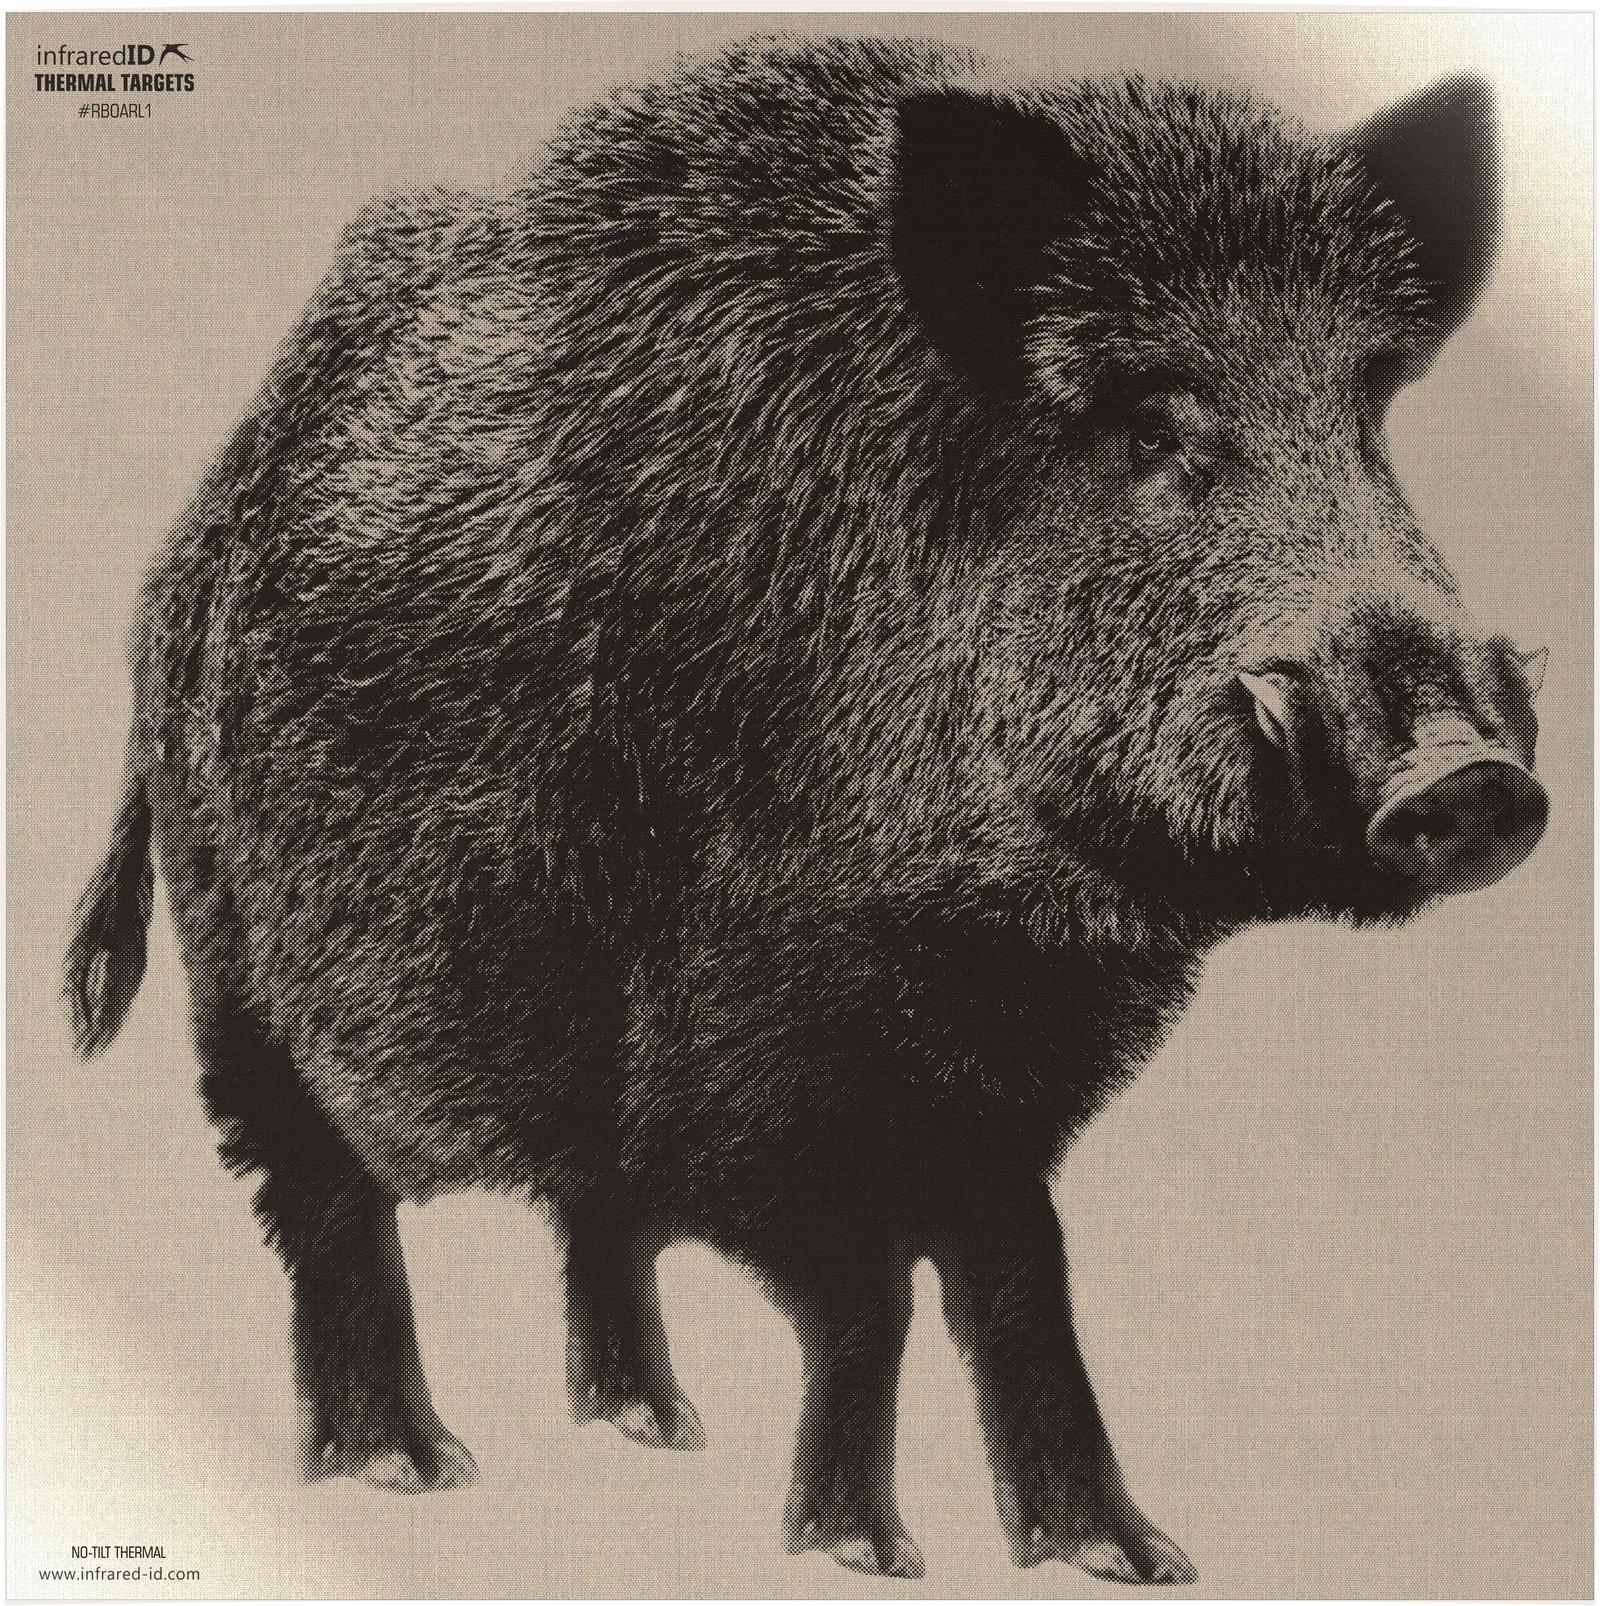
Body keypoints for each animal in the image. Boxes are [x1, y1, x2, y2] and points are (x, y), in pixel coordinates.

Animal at [64, 36, 1548, 1585]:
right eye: (1151, 424)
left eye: (1369, 415)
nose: (1467, 775)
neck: (993, 923)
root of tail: (181, 555)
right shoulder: (764, 1057)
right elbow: (869, 1296)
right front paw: (863, 1553)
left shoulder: (998, 1079)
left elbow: (1020, 1276)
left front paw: (1129, 1560)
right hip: (237, 951)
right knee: (321, 1198)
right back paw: (409, 1468)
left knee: (586, 1213)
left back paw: (656, 1428)